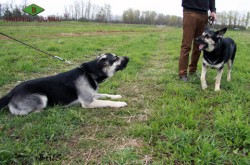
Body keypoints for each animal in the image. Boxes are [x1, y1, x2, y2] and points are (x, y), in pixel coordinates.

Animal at [0, 52, 129, 114]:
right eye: (115, 58)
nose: (128, 58)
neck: (89, 73)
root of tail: (11, 93)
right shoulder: (88, 102)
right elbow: (107, 102)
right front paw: (120, 103)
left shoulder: (92, 95)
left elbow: (106, 95)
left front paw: (117, 96)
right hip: (42, 97)